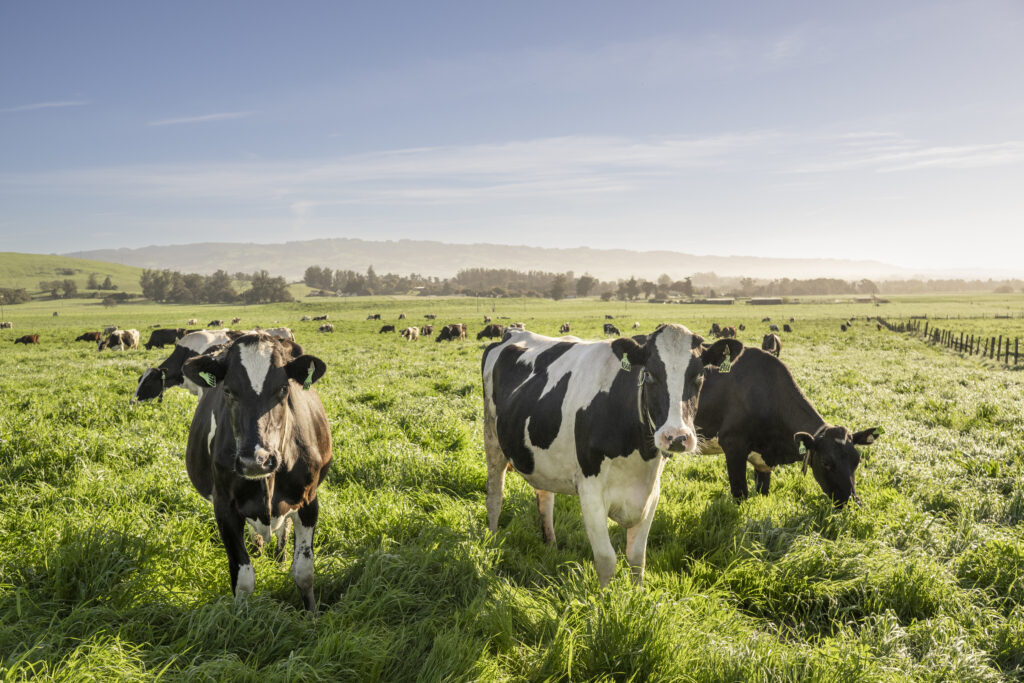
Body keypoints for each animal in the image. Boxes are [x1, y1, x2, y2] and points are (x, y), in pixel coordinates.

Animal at [181, 332, 331, 611]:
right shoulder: (225, 508)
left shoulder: (309, 502)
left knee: (283, 531)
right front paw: (241, 618)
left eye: (283, 389)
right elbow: (243, 580)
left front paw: (312, 614)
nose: (255, 461)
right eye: (228, 391)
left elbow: (304, 571)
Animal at [482, 325, 741, 586]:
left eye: (700, 376)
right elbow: (607, 559)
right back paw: (491, 542)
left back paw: (551, 546)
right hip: (491, 437)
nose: (676, 437)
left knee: (545, 497)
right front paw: (605, 597)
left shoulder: (652, 491)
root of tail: (513, 331)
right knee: (495, 496)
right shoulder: (590, 491)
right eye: (649, 374)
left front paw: (638, 595)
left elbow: (637, 558)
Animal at [695, 347, 881, 506]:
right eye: (826, 462)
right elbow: (740, 494)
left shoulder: (762, 461)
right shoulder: (733, 445)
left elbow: (763, 491)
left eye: (857, 461)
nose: (854, 503)